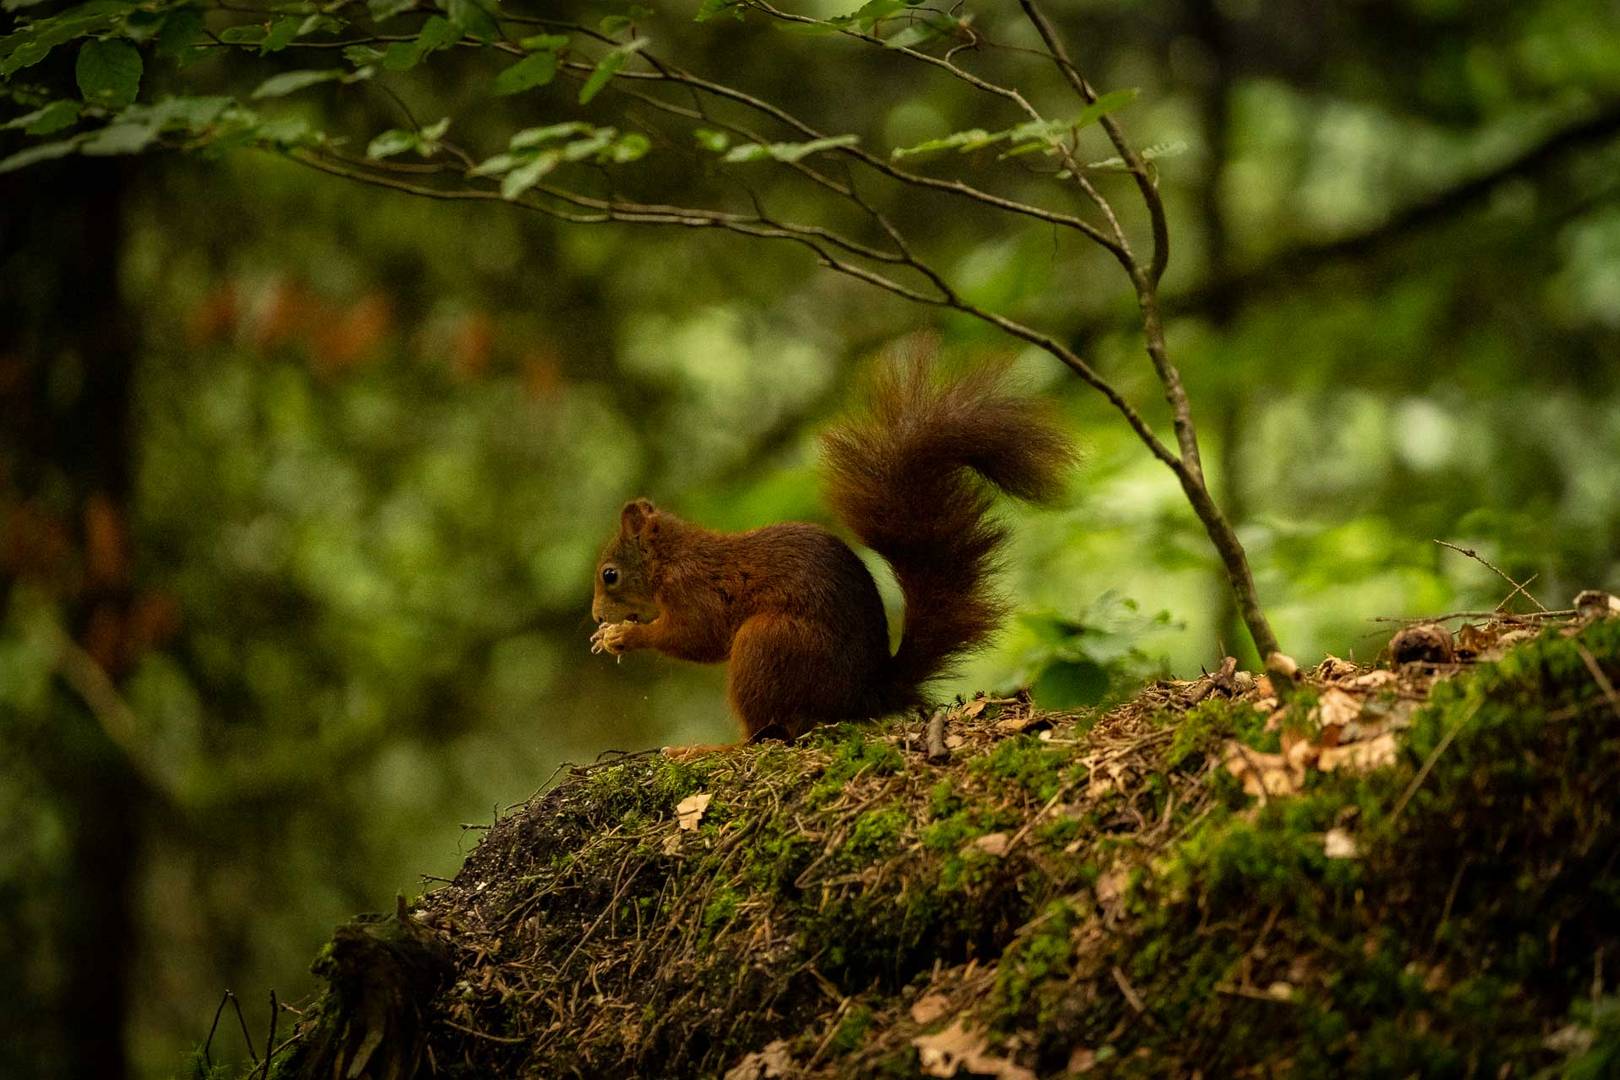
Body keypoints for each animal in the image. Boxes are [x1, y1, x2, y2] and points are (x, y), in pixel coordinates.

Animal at [592, 359, 1075, 748]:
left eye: (609, 574)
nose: (597, 616)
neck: (670, 559)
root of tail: (862, 696)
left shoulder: (695, 589)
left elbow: (696, 636)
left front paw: (625, 636)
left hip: (768, 643)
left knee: (769, 734)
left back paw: (708, 750)